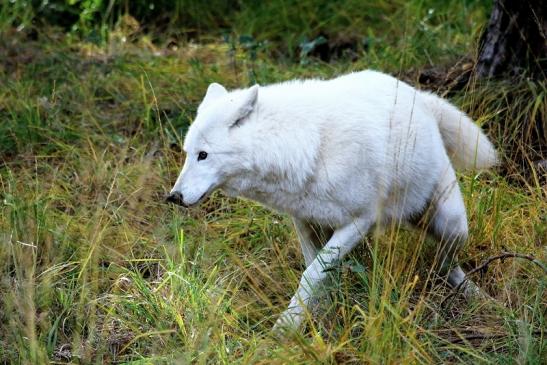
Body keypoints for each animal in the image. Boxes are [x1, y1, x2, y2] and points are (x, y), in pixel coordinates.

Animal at [166, 69, 496, 332]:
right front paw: (316, 316)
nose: (174, 197)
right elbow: (316, 274)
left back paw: (475, 295)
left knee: (445, 264)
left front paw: (285, 328)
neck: (306, 146)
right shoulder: (304, 221)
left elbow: (311, 274)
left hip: (453, 224)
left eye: (204, 155)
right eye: (187, 153)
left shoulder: (358, 222)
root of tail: (420, 95)